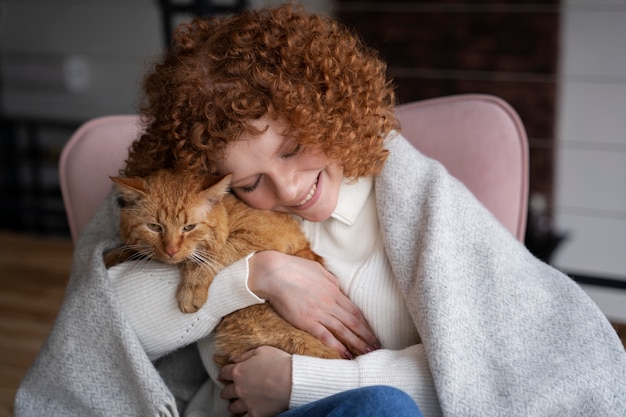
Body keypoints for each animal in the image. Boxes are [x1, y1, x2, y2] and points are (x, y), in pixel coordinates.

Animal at [103, 167, 346, 362]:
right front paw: (111, 257)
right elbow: (134, 250)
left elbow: (209, 257)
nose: (171, 250)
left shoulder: (259, 237)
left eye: (189, 227)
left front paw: (190, 291)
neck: (228, 213)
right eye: (154, 227)